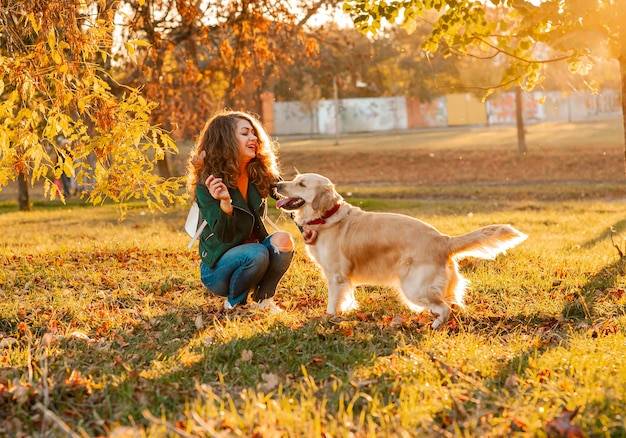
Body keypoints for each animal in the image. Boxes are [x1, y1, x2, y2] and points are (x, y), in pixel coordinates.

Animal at [276, 173, 524, 326]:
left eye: (302, 184)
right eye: (295, 180)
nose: (276, 185)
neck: (327, 217)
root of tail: (443, 239)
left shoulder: (336, 277)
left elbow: (332, 303)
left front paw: (329, 318)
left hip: (414, 288)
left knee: (444, 308)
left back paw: (434, 324)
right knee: (452, 304)